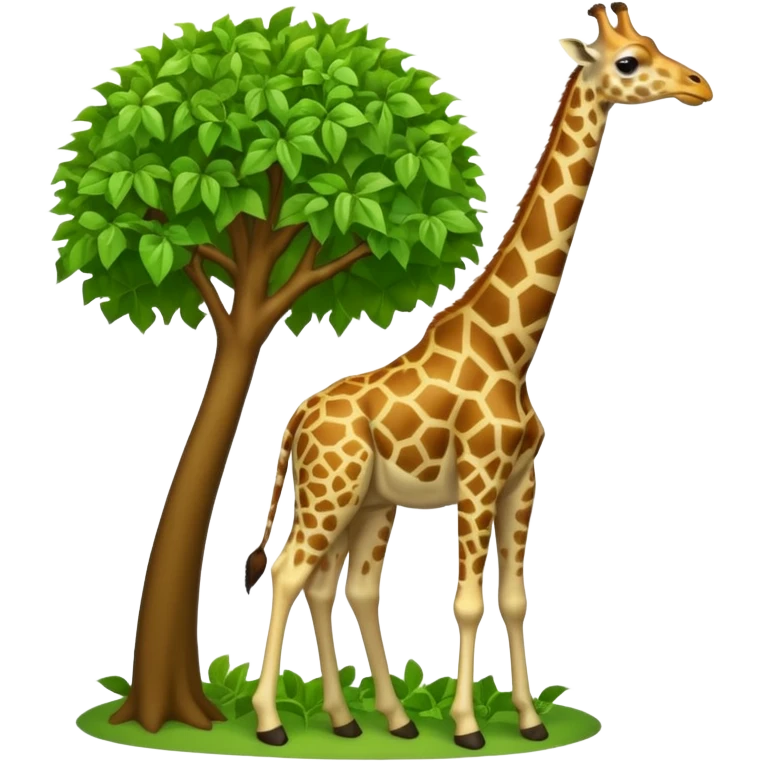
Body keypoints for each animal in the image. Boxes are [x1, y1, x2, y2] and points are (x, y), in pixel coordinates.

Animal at [244, 2, 713, 750]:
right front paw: (468, 726)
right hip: (330, 489)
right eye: (629, 61)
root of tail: (298, 417)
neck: (513, 346)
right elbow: (466, 601)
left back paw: (368, 720)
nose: (699, 84)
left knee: (338, 585)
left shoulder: (522, 481)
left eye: (648, 43)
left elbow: (515, 598)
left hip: (368, 501)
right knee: (288, 574)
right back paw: (271, 724)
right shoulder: (478, 475)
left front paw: (527, 718)